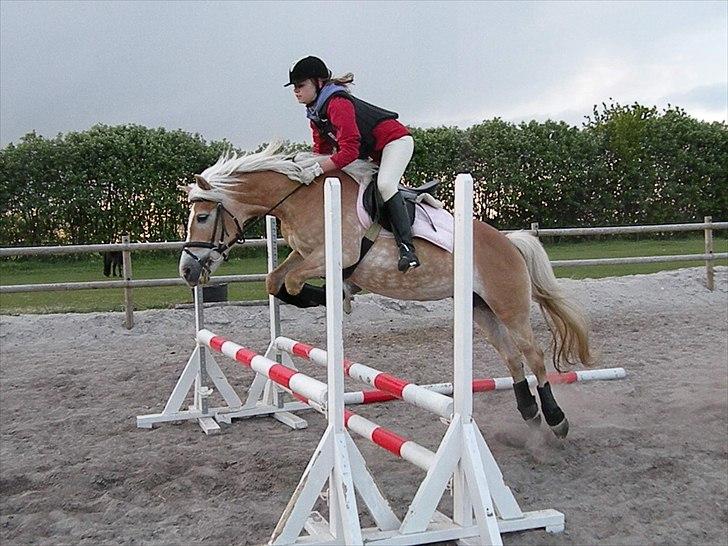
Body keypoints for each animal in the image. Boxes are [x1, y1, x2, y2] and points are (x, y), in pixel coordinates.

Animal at [179, 142, 596, 436]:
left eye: (203, 217)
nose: (187, 270)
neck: (299, 197)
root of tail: (509, 243)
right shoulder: (304, 254)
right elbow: (275, 280)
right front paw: (331, 296)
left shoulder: (337, 254)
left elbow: (295, 282)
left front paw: (336, 296)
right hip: (481, 309)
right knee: (511, 357)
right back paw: (529, 413)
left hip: (509, 306)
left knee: (534, 355)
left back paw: (555, 419)